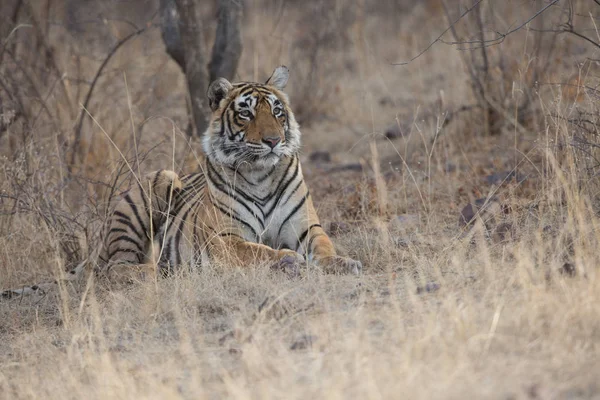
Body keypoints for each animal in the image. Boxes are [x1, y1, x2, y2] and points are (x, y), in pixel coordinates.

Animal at [1, 65, 360, 296]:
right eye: (246, 113)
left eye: (277, 111)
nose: (273, 141)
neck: (261, 173)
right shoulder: (225, 239)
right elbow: (257, 251)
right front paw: (287, 260)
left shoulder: (305, 228)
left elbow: (323, 247)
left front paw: (344, 263)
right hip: (152, 186)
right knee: (116, 269)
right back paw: (166, 272)